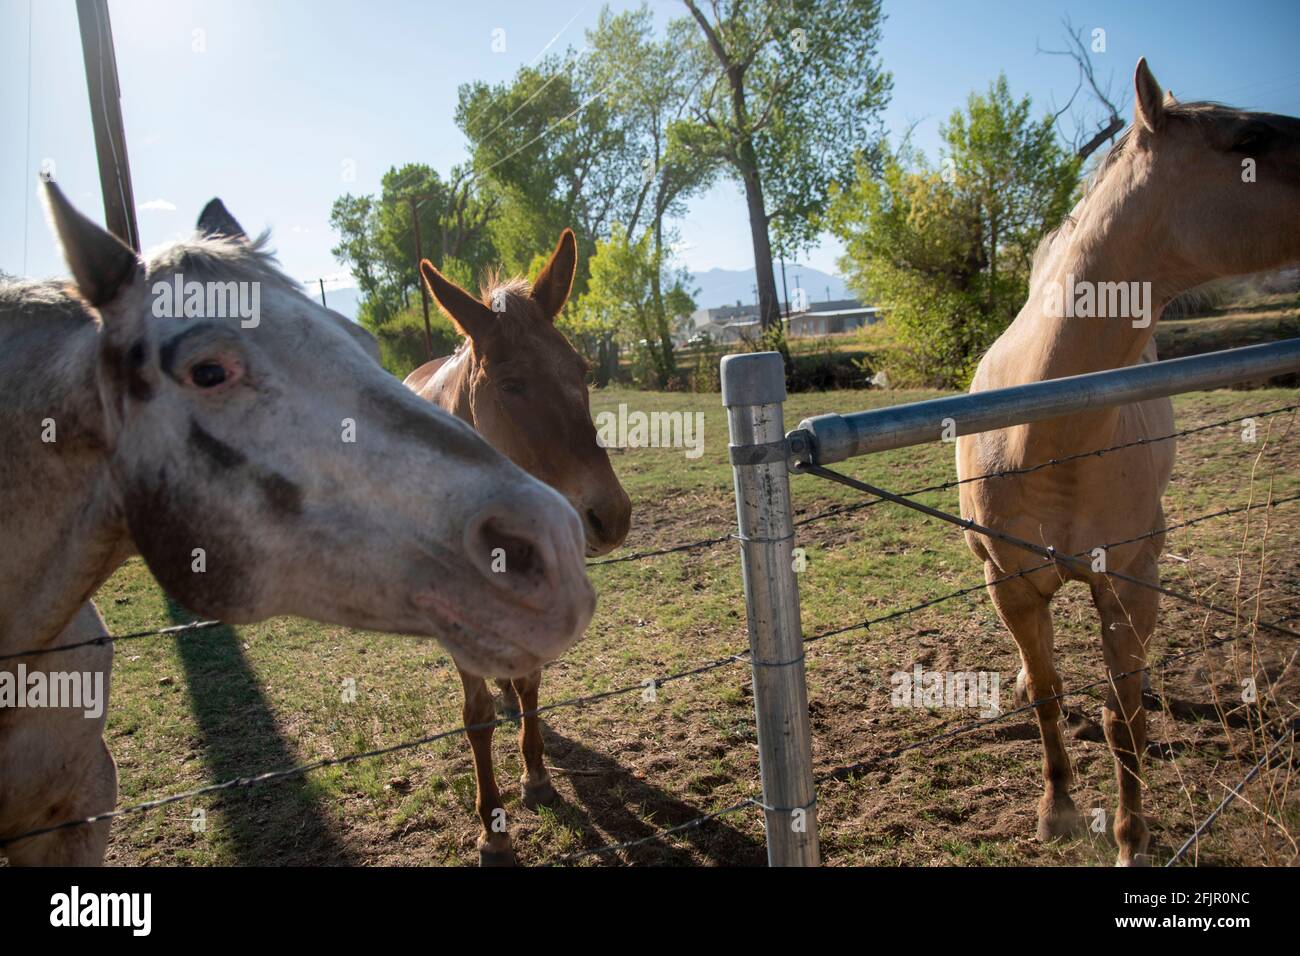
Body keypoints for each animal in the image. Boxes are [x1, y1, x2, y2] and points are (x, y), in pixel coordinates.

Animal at [403, 231, 631, 868]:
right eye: (510, 385)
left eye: (582, 370)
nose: (610, 516)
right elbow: (475, 718)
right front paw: (494, 830)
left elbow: (530, 684)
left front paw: (537, 779)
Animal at [956, 57, 1300, 868]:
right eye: (1249, 138)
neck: (1046, 437)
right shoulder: (1009, 582)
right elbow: (1048, 694)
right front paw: (1056, 810)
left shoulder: (1130, 579)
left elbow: (1127, 720)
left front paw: (1130, 837)